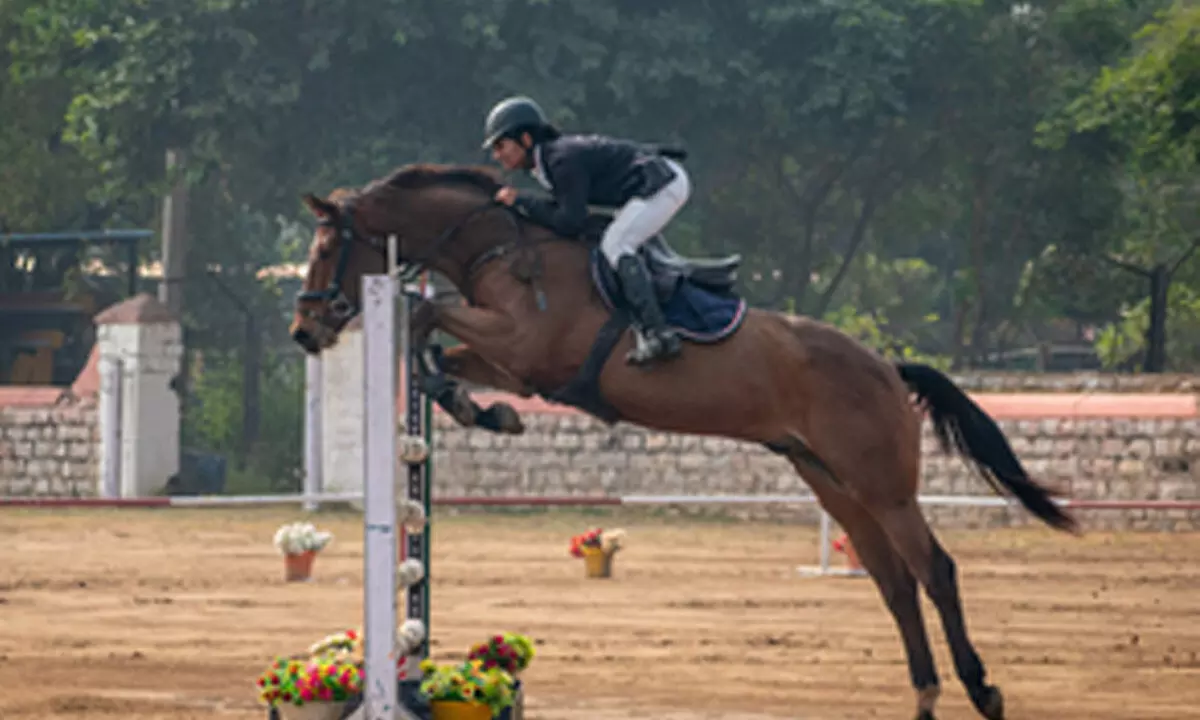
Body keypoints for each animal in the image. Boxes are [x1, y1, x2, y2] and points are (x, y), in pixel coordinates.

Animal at [290, 162, 1080, 720]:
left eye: (328, 246)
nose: (304, 331)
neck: (501, 249)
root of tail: (887, 365)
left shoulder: (524, 346)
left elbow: (428, 323)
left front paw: (474, 405)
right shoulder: (513, 360)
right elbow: (440, 353)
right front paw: (481, 411)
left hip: (882, 484)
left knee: (934, 569)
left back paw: (981, 691)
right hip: (831, 481)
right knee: (893, 582)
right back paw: (923, 696)